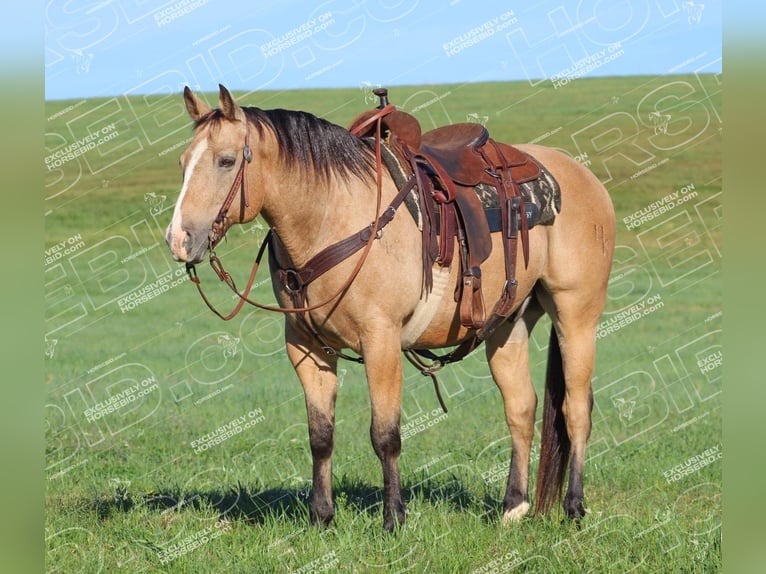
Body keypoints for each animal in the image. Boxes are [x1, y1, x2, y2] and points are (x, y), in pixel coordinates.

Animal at [165, 84, 616, 532]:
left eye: (226, 161)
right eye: (183, 163)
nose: (178, 239)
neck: (332, 216)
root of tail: (581, 176)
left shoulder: (380, 339)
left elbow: (385, 434)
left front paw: (393, 518)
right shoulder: (305, 347)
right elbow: (320, 436)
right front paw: (321, 517)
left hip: (576, 316)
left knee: (576, 409)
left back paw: (574, 506)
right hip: (507, 324)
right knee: (521, 408)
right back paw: (513, 506)